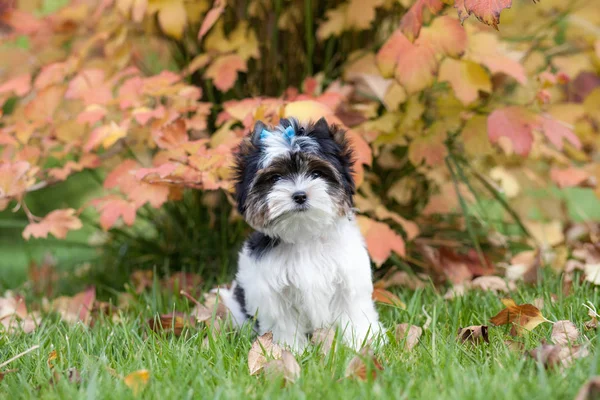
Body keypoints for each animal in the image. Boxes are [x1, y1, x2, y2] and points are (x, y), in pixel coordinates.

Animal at [220, 117, 384, 352]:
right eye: (276, 177)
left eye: (316, 173)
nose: (299, 195)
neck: (304, 235)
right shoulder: (273, 293)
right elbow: (284, 323)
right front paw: (290, 351)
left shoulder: (348, 281)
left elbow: (354, 315)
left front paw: (361, 343)